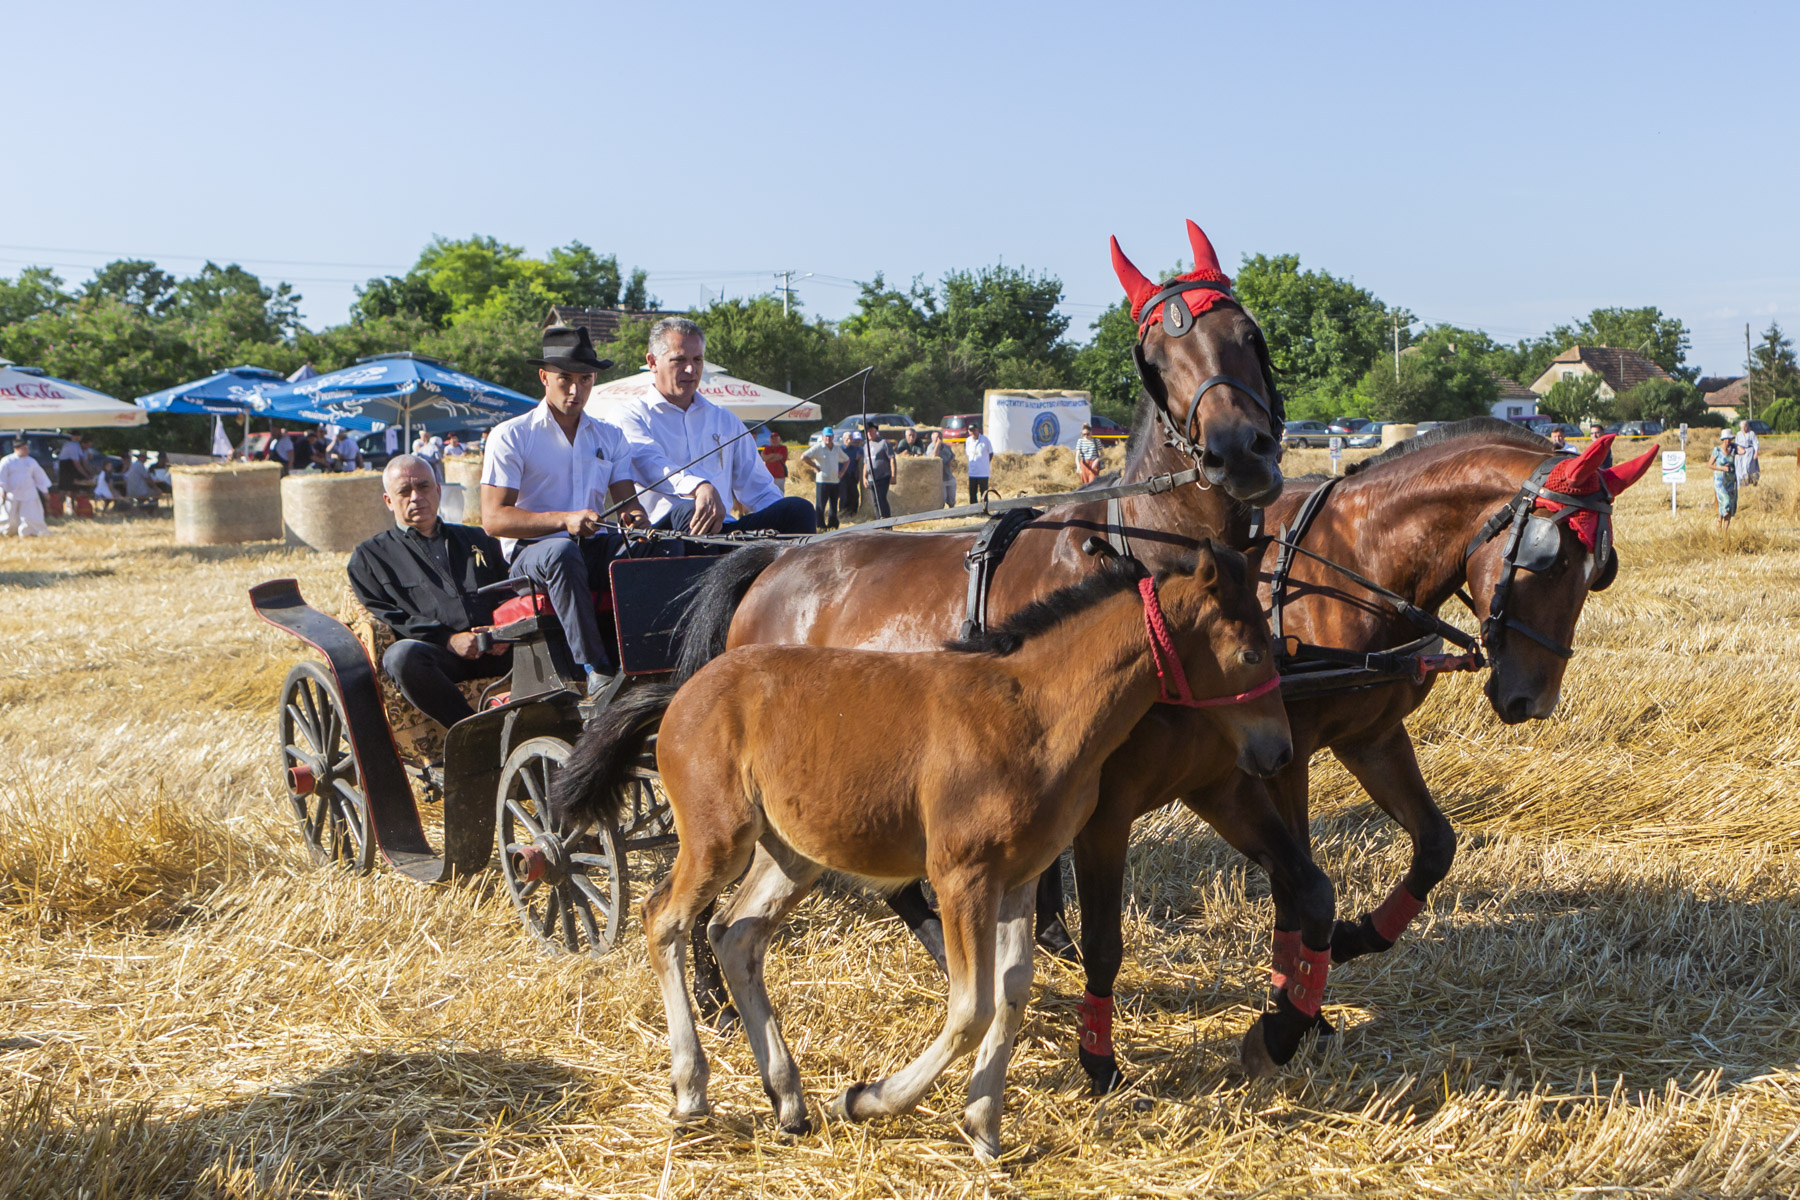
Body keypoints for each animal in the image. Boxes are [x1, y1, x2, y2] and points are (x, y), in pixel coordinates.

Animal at [547, 546, 1281, 1165]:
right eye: (1250, 653)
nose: (1272, 749)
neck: (1036, 712)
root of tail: (683, 689)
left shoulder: (1021, 876)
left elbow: (1012, 991)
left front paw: (983, 1125)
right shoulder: (961, 876)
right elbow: (972, 1006)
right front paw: (871, 1099)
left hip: (793, 853)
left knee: (737, 934)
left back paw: (788, 1099)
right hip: (717, 838)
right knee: (665, 920)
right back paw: (692, 1091)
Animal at [1058, 422, 1663, 1086]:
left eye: (1602, 571)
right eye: (1546, 560)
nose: (1533, 699)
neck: (1355, 565)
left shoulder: (1372, 738)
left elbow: (1435, 845)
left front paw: (1349, 943)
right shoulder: (1281, 755)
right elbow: (1295, 886)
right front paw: (1289, 1013)